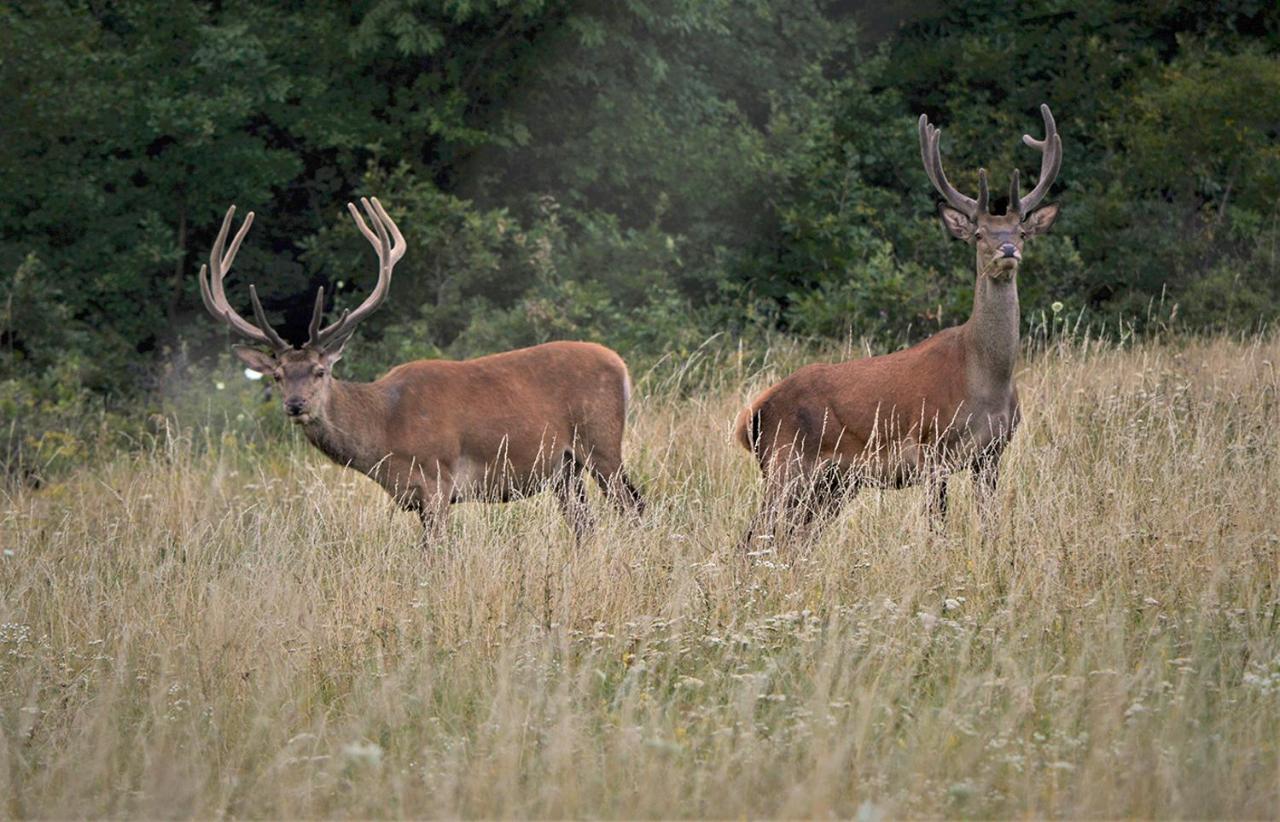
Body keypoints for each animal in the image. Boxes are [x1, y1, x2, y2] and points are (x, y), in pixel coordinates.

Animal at [199, 197, 645, 540]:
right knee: (587, 525)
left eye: (319, 371)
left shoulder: (437, 479)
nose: (295, 405)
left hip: (601, 442)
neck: (384, 430)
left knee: (633, 507)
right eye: (277, 376)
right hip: (563, 471)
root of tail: (620, 364)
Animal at [737, 102, 1064, 540]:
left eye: (1022, 231)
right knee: (756, 534)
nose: (1008, 249)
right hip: (785, 464)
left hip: (831, 485)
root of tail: (753, 414)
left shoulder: (991, 455)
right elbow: (937, 525)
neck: (984, 379)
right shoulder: (930, 447)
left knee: (793, 538)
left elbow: (989, 524)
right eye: (979, 234)